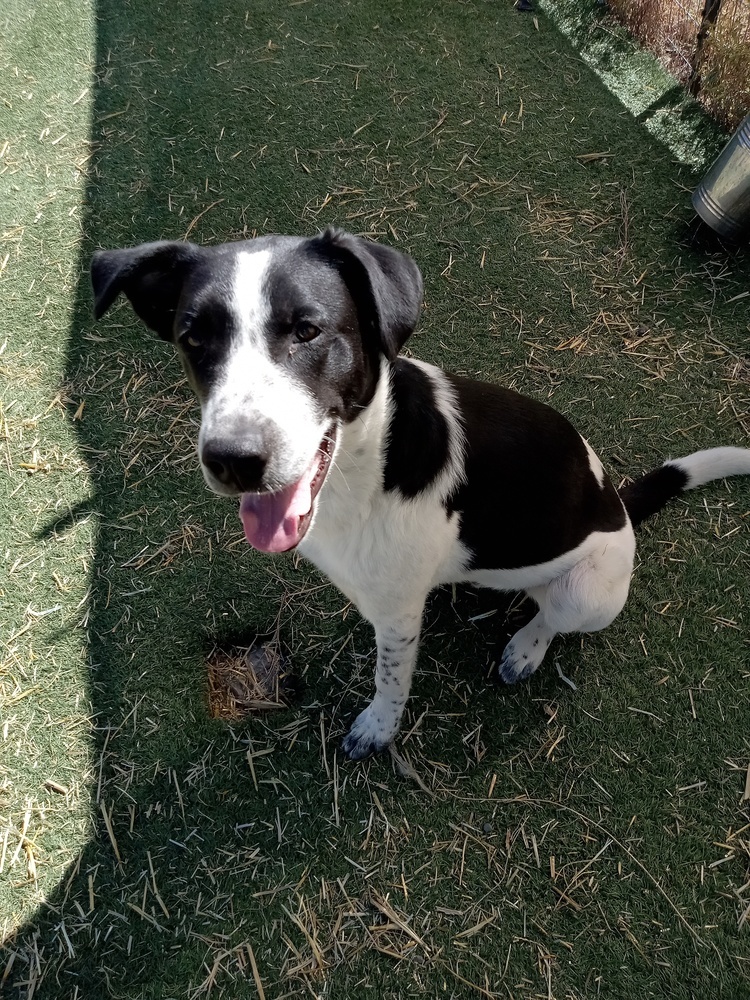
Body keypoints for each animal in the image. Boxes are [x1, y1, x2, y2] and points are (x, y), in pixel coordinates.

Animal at [89, 229, 750, 756]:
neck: (366, 466)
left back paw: (526, 647)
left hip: (590, 591)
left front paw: (379, 728)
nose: (233, 460)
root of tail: (619, 505)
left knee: (551, 616)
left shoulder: (400, 615)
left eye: (307, 330)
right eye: (193, 338)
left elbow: (391, 678)